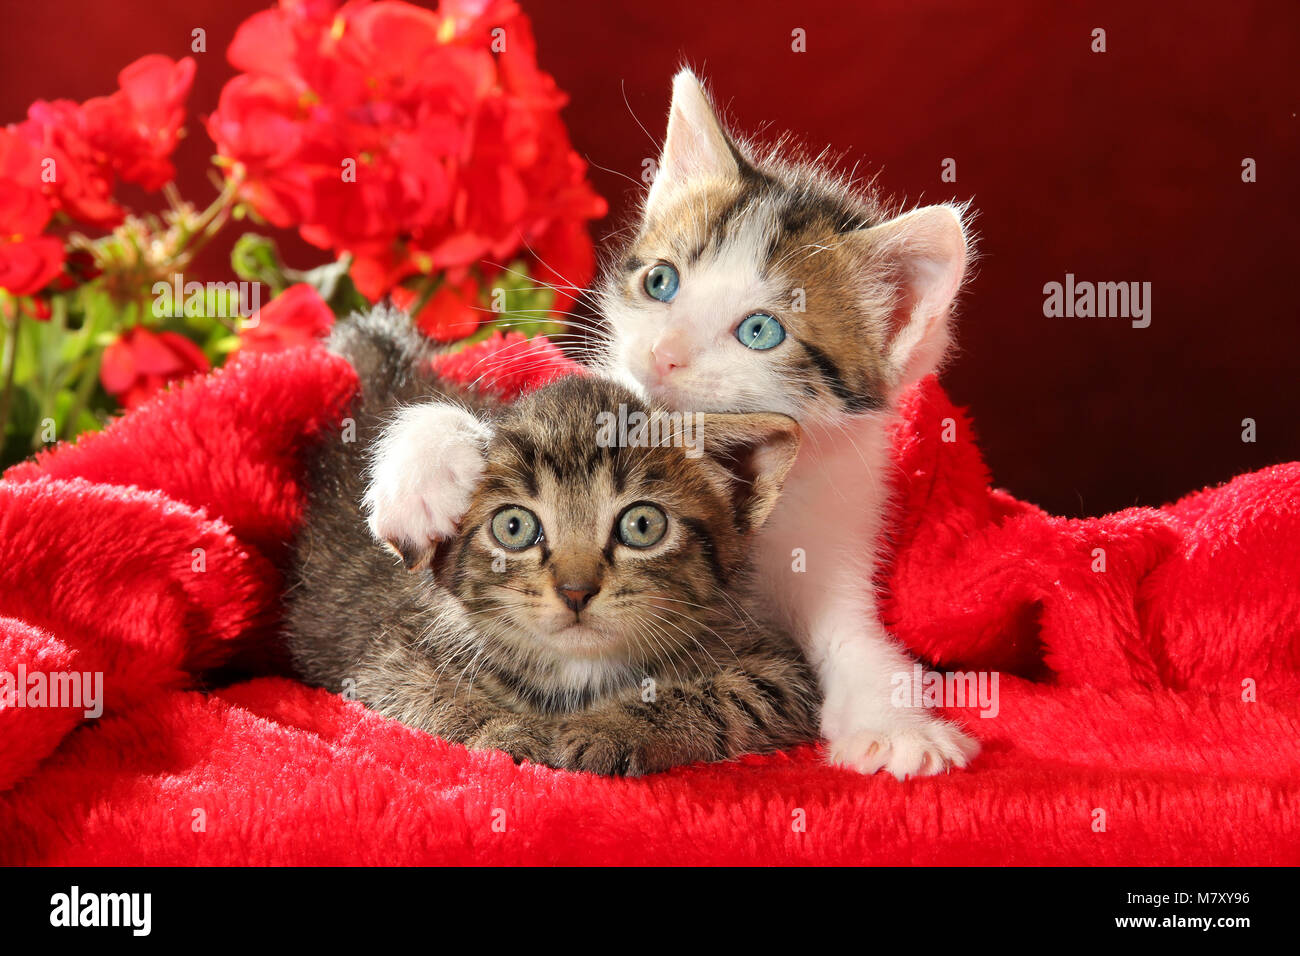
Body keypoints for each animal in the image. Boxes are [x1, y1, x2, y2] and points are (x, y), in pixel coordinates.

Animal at [286, 308, 816, 780]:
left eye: (643, 525)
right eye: (514, 528)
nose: (576, 592)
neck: (578, 671)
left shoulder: (778, 671)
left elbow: (725, 698)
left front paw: (612, 729)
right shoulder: (386, 662)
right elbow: (428, 695)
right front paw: (506, 731)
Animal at [595, 72, 977, 780]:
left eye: (759, 331)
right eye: (661, 281)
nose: (664, 352)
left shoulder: (839, 529)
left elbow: (858, 640)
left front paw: (899, 729)